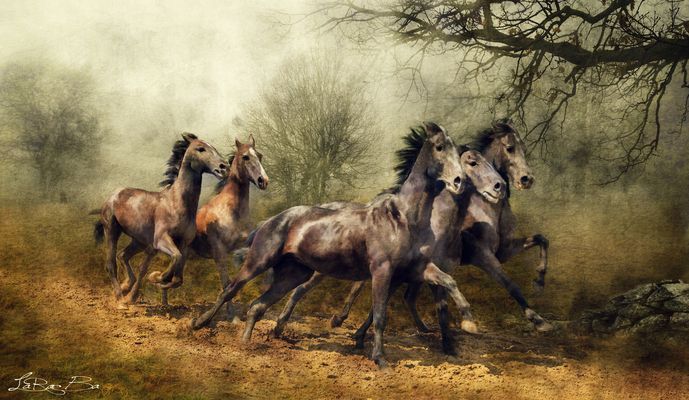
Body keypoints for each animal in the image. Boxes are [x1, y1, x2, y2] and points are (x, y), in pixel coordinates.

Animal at [93, 133, 228, 307]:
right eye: (201, 149)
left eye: (214, 147)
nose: (224, 167)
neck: (176, 203)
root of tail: (113, 195)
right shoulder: (161, 240)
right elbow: (175, 259)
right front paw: (157, 276)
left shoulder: (183, 243)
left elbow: (178, 277)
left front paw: (158, 281)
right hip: (111, 230)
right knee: (111, 264)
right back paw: (121, 299)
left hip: (139, 241)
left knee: (123, 255)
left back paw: (127, 288)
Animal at [190, 135, 269, 314]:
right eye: (245, 157)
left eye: (259, 156)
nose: (263, 181)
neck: (231, 212)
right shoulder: (219, 253)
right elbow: (226, 283)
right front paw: (231, 314)